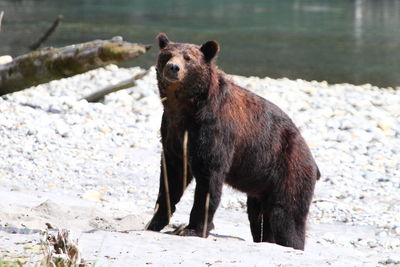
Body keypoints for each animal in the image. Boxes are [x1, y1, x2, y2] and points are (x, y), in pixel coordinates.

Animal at [145, 33, 320, 251]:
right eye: (167, 55)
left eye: (188, 58)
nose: (173, 68)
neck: (185, 108)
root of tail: (312, 159)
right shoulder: (172, 133)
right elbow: (172, 177)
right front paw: (154, 222)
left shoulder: (213, 129)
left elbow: (208, 179)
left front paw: (193, 228)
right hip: (262, 185)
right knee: (259, 217)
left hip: (289, 169)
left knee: (286, 216)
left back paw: (291, 244)